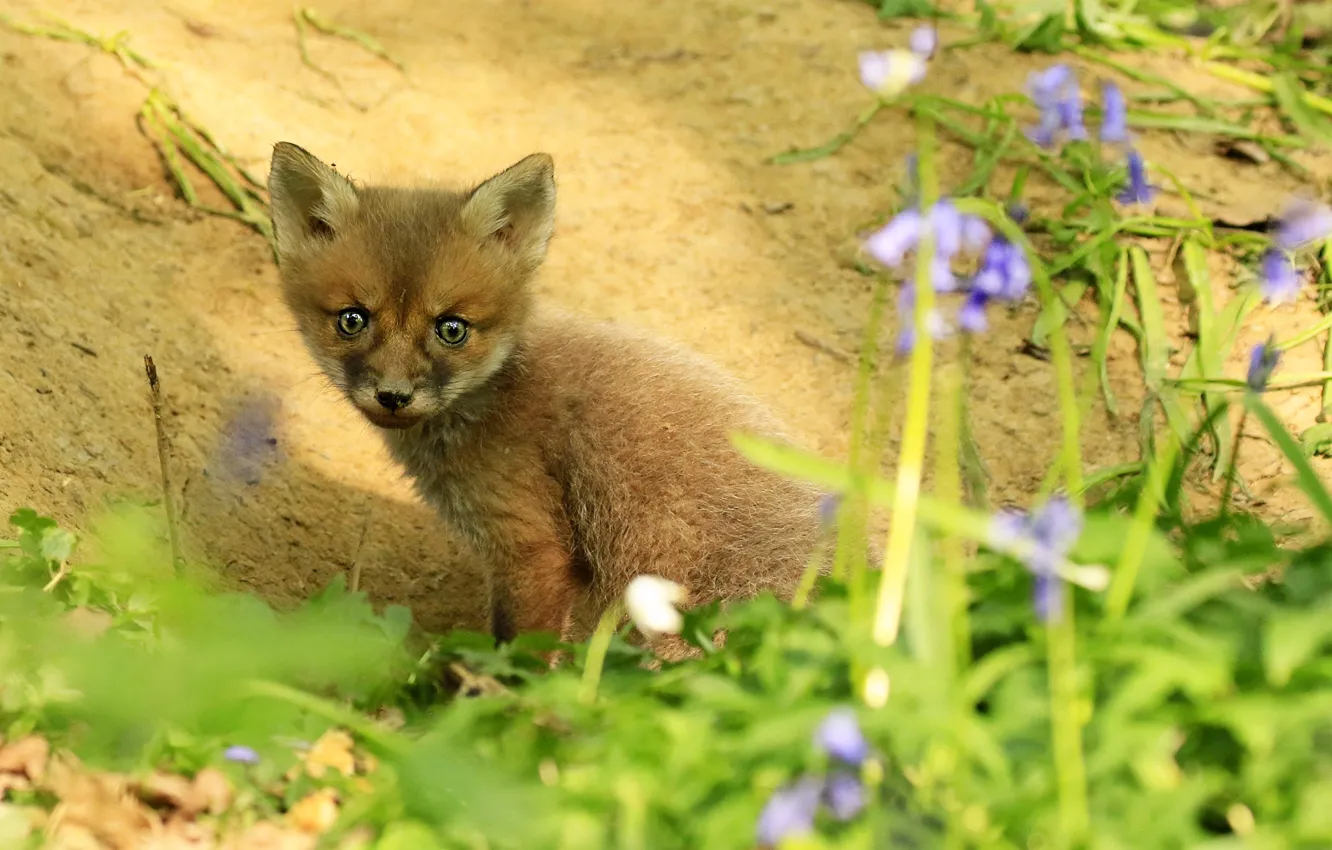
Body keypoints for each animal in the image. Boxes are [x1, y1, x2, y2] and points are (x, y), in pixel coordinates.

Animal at [265, 141, 832, 657]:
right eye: (352, 320)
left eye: (451, 328)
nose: (393, 396)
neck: (494, 394)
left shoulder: (531, 546)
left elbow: (518, 660)